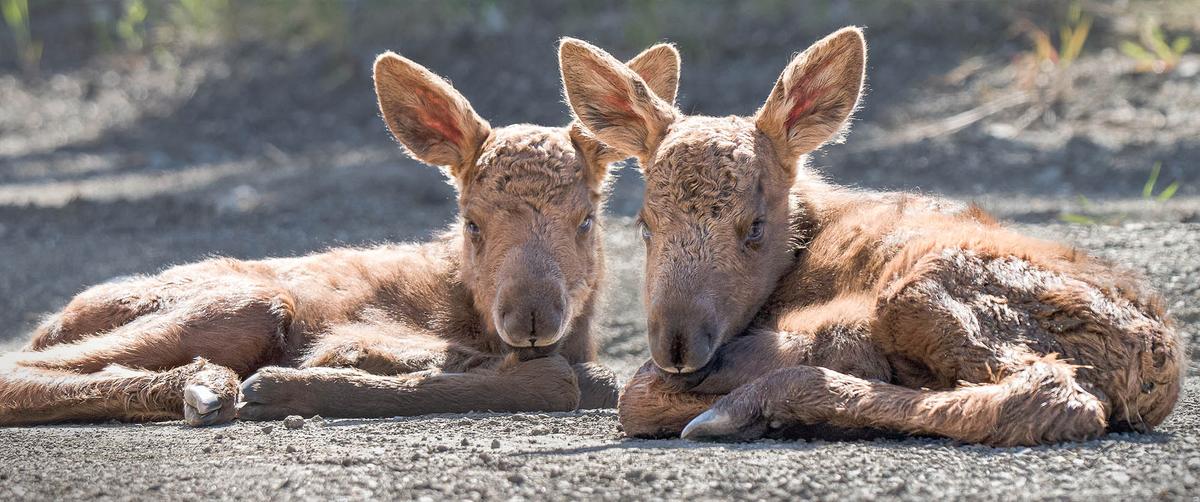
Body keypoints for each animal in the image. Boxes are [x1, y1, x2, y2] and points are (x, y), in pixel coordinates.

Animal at [0, 45, 682, 426]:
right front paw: (289, 386)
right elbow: (567, 380)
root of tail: (52, 321)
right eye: (472, 222)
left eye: (586, 219)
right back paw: (208, 386)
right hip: (244, 300)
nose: (532, 316)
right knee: (20, 366)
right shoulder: (361, 329)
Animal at [559, 27, 1184, 447]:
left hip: (928, 288)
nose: (678, 346)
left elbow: (636, 397)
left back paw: (750, 405)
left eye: (754, 227)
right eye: (644, 223)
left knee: (1051, 395)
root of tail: (1157, 366)